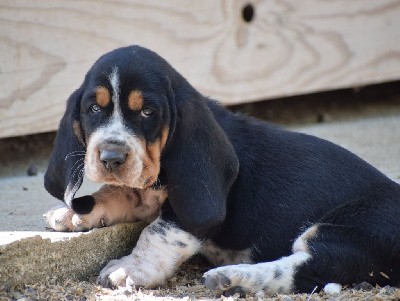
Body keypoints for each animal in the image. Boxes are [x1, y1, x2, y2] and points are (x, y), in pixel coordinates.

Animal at [43, 45, 400, 296]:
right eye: (93, 108)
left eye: (147, 112)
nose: (111, 157)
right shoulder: (144, 189)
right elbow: (118, 192)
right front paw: (74, 212)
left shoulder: (191, 208)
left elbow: (158, 232)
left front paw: (132, 268)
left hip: (353, 230)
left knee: (311, 268)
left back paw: (234, 278)